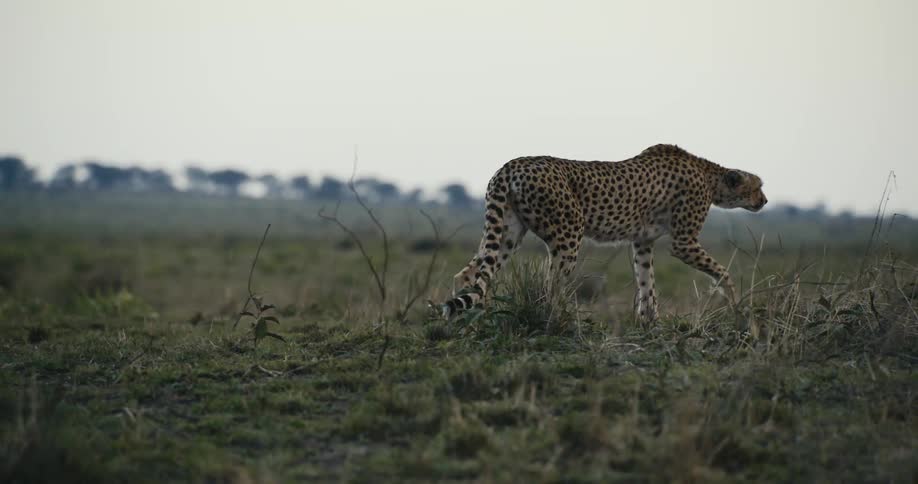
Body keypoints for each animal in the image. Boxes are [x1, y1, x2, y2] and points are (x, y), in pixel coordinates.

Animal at [440, 143, 767, 321]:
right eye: (757, 186)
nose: (764, 200)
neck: (709, 176)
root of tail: (512, 165)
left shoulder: (642, 241)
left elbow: (647, 282)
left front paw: (649, 321)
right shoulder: (683, 243)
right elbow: (722, 271)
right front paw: (734, 299)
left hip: (507, 233)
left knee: (468, 274)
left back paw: (468, 320)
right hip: (568, 234)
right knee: (549, 287)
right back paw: (558, 320)